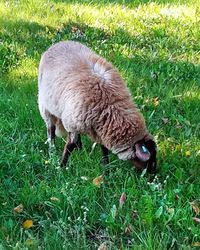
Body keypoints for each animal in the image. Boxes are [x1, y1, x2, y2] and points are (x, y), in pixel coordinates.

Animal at [37, 41, 156, 173]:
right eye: (149, 160)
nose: (153, 174)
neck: (110, 105)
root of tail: (58, 43)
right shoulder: (73, 124)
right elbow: (69, 146)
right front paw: (61, 167)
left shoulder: (98, 129)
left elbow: (103, 148)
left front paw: (106, 169)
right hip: (45, 107)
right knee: (51, 132)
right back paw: (52, 151)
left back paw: (79, 149)